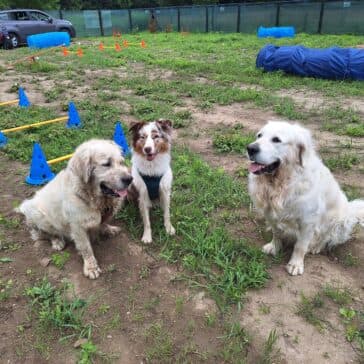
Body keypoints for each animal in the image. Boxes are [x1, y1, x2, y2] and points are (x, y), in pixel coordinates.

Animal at [247, 121, 364, 274]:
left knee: (326, 237)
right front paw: (274, 247)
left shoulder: (308, 220)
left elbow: (300, 245)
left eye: (276, 139)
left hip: (340, 221)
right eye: (259, 136)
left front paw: (295, 264)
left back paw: (316, 247)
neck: (281, 182)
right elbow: (276, 232)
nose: (250, 148)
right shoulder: (270, 212)